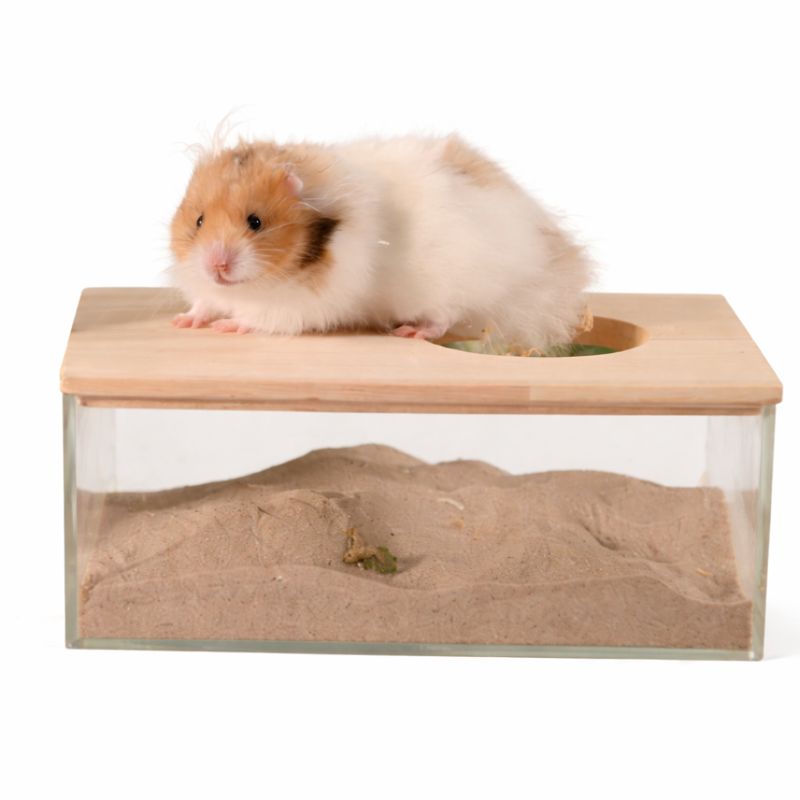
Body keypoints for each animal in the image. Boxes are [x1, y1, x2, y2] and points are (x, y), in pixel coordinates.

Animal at [169, 134, 592, 349]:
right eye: (199, 221)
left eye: (255, 222)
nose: (216, 266)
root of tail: (539, 251)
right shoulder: (211, 291)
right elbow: (204, 303)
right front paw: (183, 321)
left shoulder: (298, 307)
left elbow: (257, 319)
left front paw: (228, 327)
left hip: (452, 287)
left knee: (446, 317)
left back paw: (411, 332)